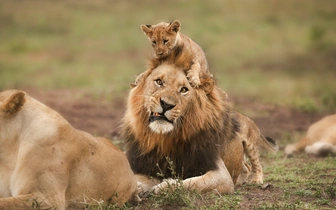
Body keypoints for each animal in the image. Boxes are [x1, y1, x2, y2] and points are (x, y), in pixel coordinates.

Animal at [122, 57, 243, 195]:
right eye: (159, 82)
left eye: (184, 90)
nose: (166, 104)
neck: (164, 139)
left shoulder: (223, 176)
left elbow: (194, 183)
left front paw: (164, 186)